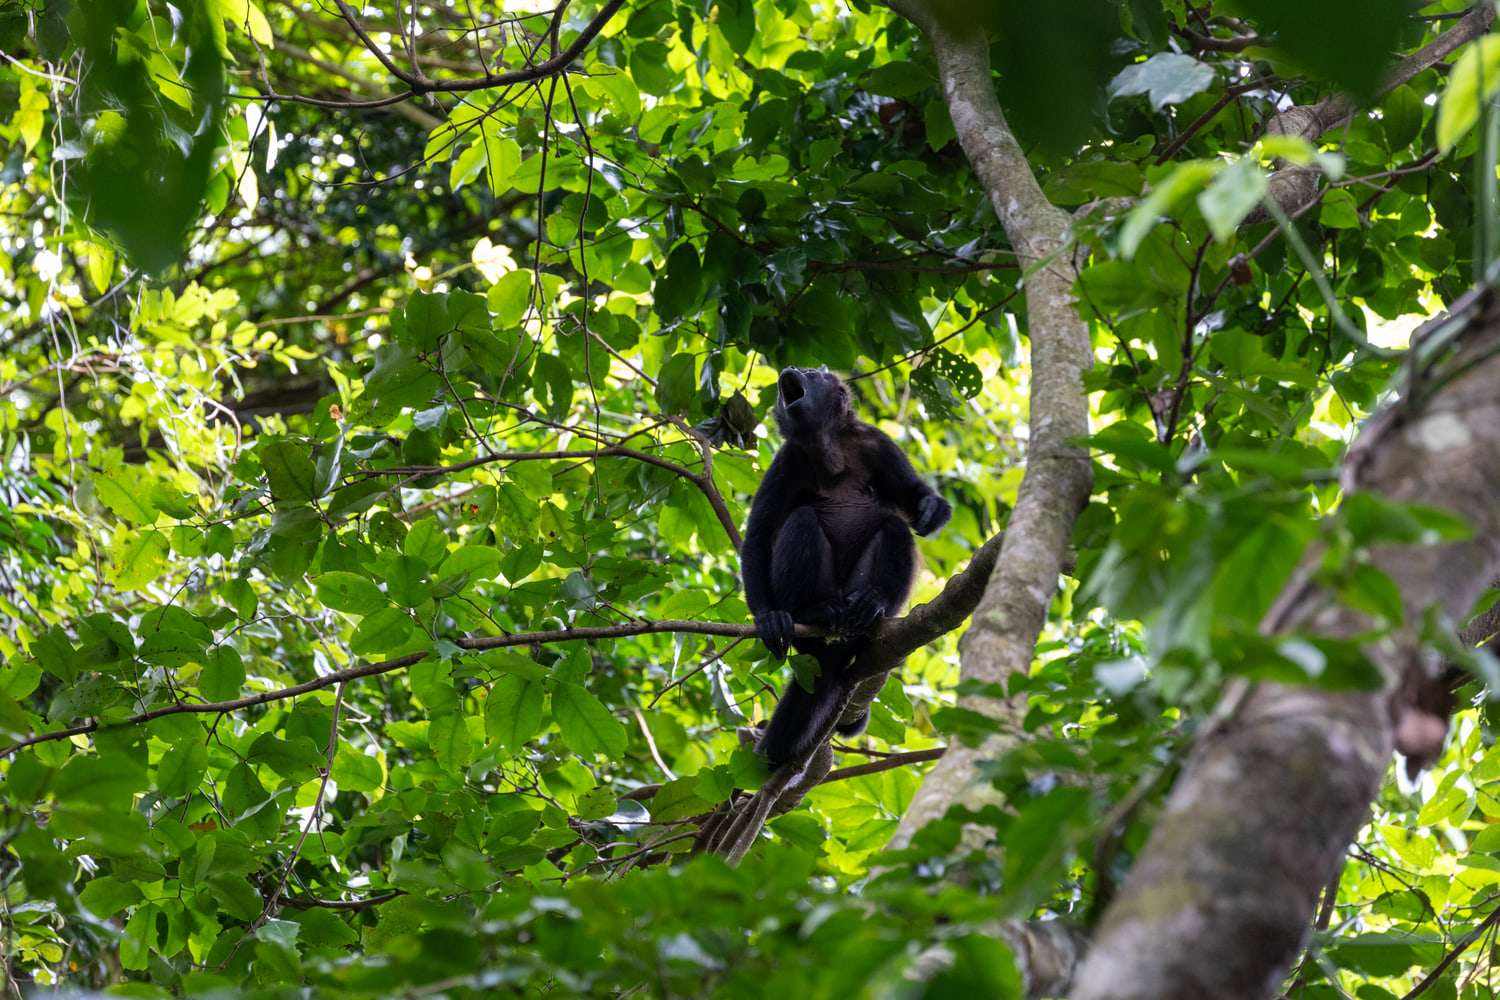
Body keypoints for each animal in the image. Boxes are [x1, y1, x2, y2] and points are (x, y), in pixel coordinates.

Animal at [740, 367, 951, 768]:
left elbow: (914, 498)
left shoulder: (878, 443)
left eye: (812, 373)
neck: (828, 447)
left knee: (895, 527)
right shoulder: (787, 460)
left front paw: (930, 509)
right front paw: (768, 617)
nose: (792, 369)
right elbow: (758, 536)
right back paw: (812, 612)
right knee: (803, 519)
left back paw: (872, 606)